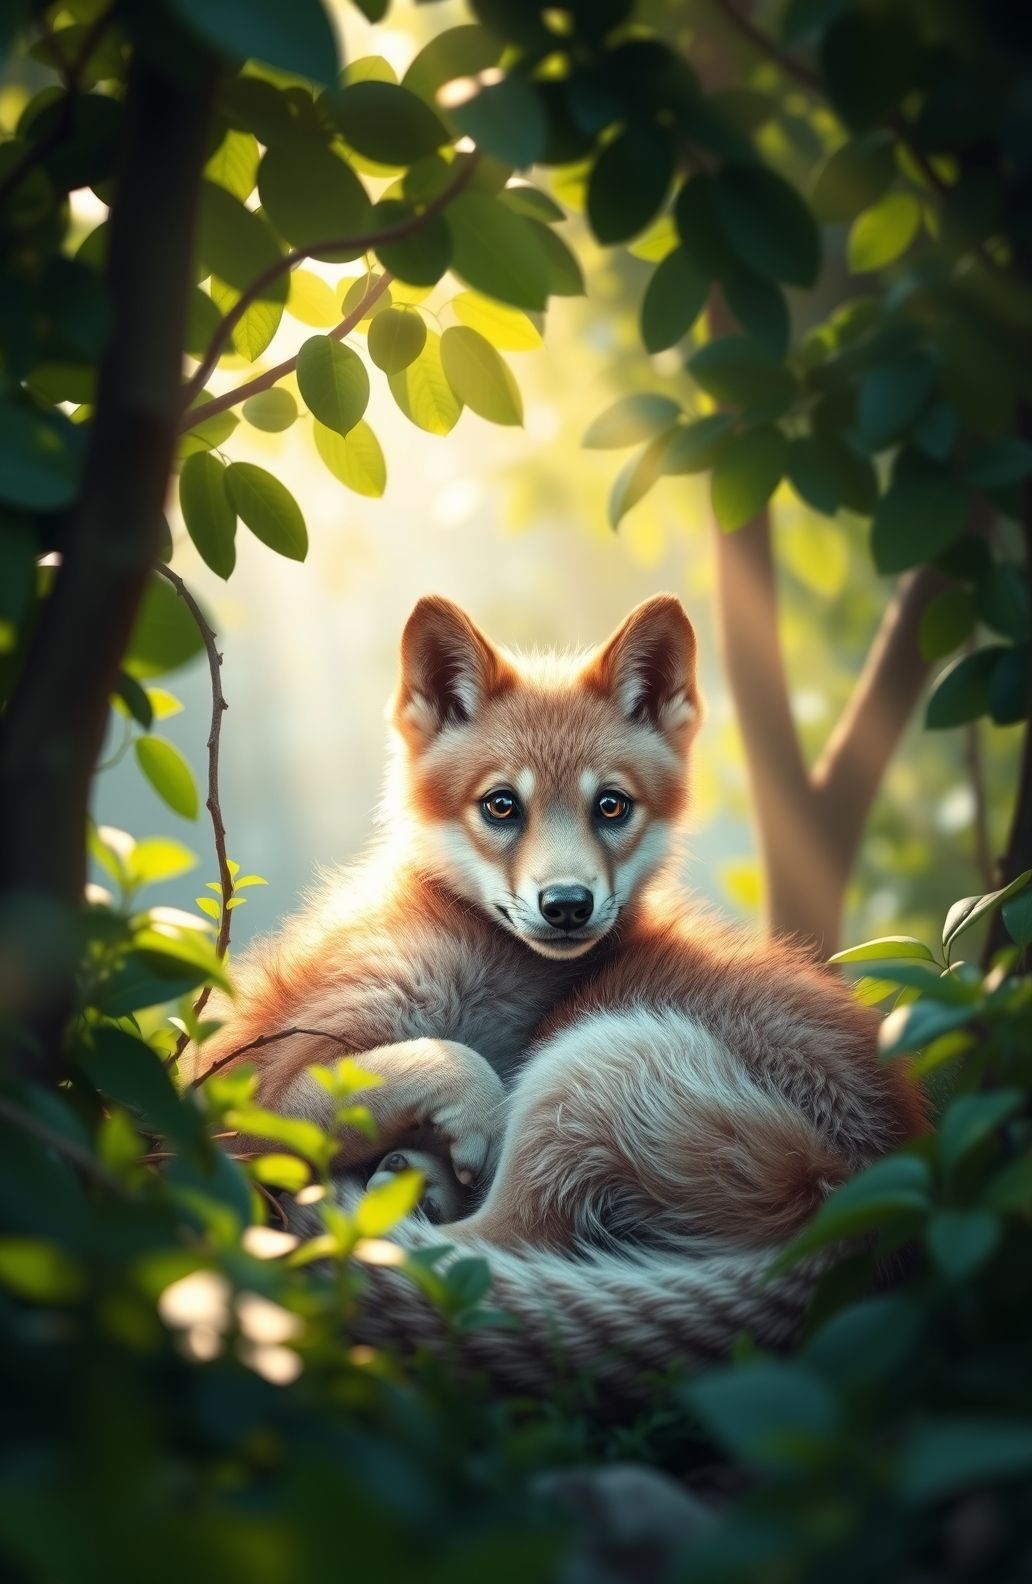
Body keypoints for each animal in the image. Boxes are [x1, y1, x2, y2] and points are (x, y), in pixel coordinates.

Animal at [196, 594, 924, 1395]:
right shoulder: (243, 1087)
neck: (487, 981)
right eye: (501, 806)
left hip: (591, 1064)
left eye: (610, 806)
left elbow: (463, 1072)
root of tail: (878, 1199)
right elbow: (455, 1061)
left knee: (483, 1245)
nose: (568, 905)